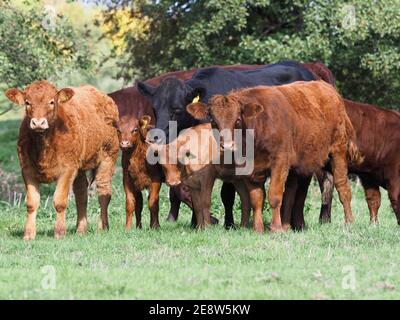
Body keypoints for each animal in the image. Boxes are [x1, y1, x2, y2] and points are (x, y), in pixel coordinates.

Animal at [5, 80, 119, 240]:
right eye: (27, 102)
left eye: (52, 101)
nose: (38, 123)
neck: (43, 145)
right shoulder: (27, 169)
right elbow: (31, 203)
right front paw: (28, 234)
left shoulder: (67, 169)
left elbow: (59, 201)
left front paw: (59, 233)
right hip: (80, 165)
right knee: (81, 194)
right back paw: (81, 229)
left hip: (108, 157)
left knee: (104, 192)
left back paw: (102, 228)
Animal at [188, 80, 362, 232]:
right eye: (213, 121)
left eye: (237, 120)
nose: (228, 146)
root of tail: (327, 88)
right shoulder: (249, 169)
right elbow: (257, 198)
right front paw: (258, 229)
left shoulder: (280, 162)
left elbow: (275, 195)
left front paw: (275, 229)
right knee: (292, 193)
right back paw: (287, 225)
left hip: (338, 150)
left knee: (342, 187)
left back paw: (349, 222)